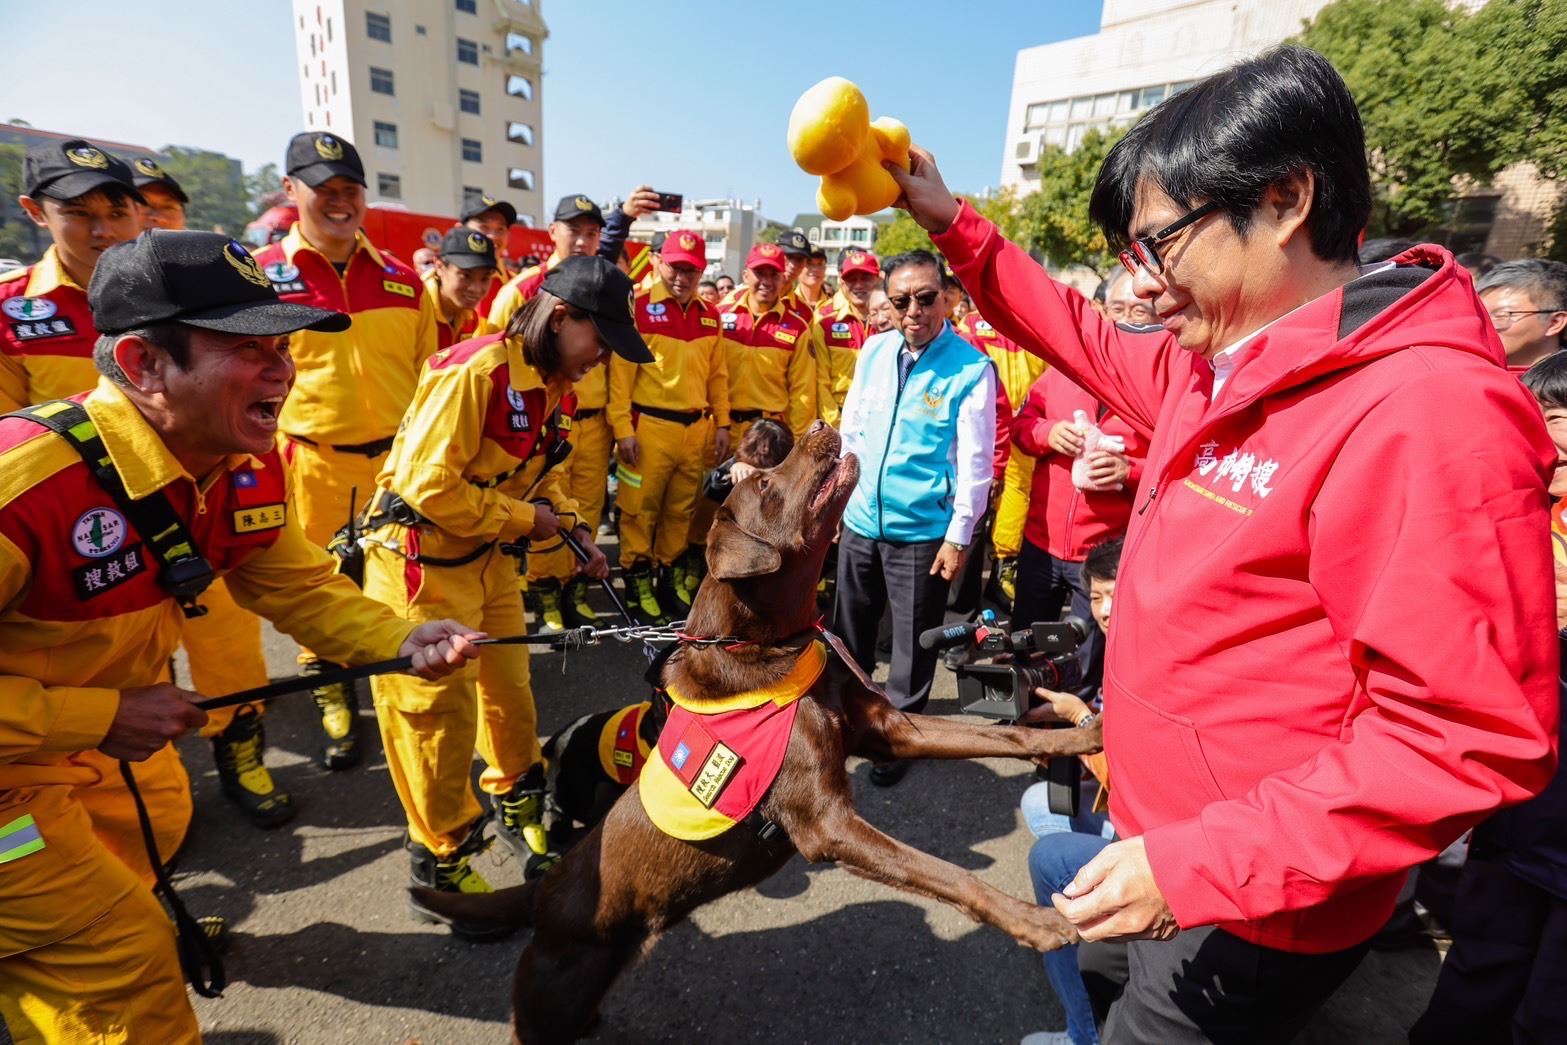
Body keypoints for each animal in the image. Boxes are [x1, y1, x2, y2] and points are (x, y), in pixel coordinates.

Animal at [413, 419, 1103, 1040]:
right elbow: (946, 872)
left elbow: (1005, 736)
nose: (822, 422)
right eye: (767, 483)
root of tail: (543, 895)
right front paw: (1036, 921)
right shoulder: (826, 826)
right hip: (548, 996)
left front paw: (1081, 734)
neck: (767, 649)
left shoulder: (889, 728)